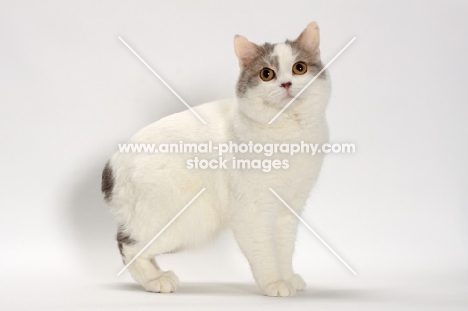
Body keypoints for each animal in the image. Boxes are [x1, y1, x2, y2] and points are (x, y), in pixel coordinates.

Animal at [102, 22, 330, 298]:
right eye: (267, 74)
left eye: (300, 68)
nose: (286, 84)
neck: (291, 134)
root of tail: (115, 161)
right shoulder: (252, 210)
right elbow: (264, 251)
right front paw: (273, 283)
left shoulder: (289, 210)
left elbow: (284, 249)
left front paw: (287, 277)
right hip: (183, 222)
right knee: (129, 247)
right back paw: (155, 281)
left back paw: (160, 275)